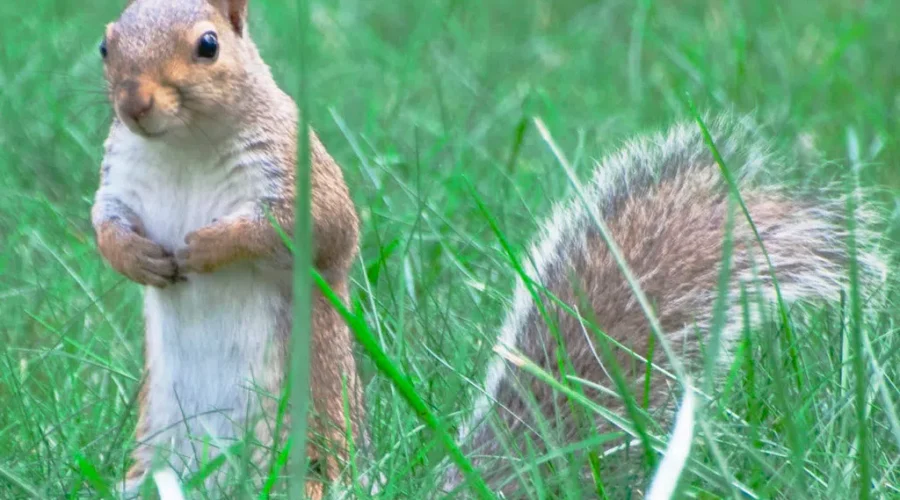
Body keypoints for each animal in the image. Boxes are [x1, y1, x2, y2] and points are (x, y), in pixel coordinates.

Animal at [90, 0, 365, 497]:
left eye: (208, 45)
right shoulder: (118, 184)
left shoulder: (297, 173)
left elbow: (311, 229)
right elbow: (105, 225)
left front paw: (207, 246)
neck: (182, 145)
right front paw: (139, 259)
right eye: (105, 46)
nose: (133, 104)